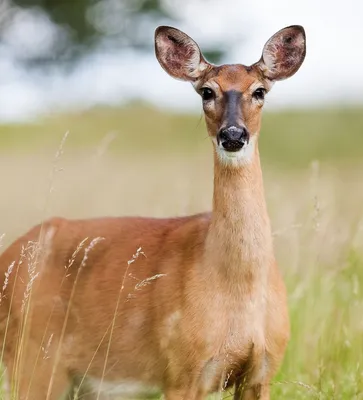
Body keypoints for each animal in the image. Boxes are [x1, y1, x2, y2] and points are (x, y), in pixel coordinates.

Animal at [0, 25, 308, 400]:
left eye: (259, 91)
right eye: (207, 91)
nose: (233, 135)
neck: (238, 287)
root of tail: (7, 255)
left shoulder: (262, 370)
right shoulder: (181, 370)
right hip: (33, 359)